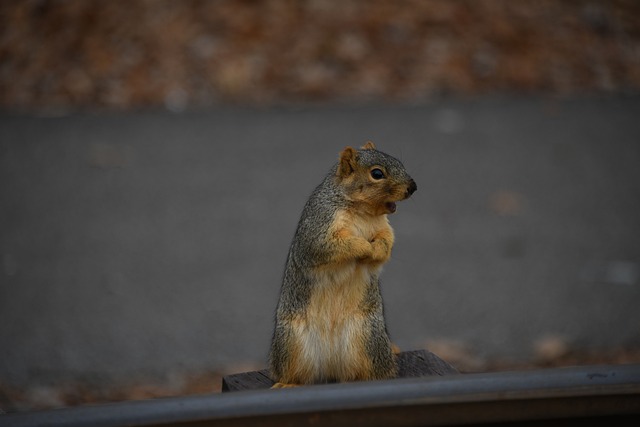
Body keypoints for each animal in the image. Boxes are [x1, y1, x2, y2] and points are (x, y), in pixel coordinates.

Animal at [268, 141, 418, 388]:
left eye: (400, 162)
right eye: (377, 174)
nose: (412, 187)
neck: (362, 212)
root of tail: (331, 364)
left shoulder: (385, 229)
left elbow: (385, 245)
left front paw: (375, 250)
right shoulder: (319, 228)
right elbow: (334, 245)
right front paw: (364, 247)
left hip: (369, 339)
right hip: (291, 343)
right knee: (297, 374)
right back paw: (288, 383)